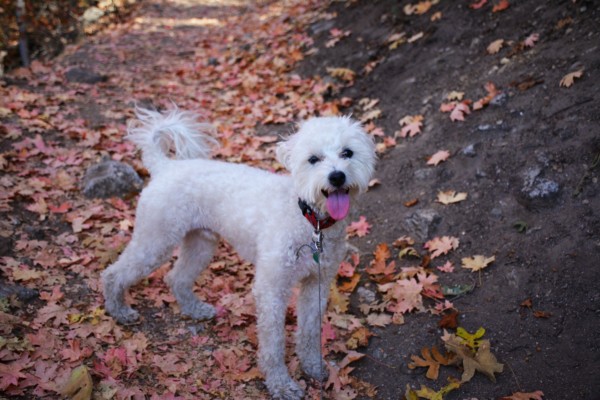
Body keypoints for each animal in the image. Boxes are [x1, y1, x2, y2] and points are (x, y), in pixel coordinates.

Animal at [101, 108, 378, 398]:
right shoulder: (271, 289)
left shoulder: (316, 283)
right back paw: (119, 311)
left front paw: (313, 366)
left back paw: (194, 309)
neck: (309, 219)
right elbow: (273, 343)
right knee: (113, 273)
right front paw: (281, 384)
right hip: (156, 240)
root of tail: (166, 166)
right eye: (313, 159)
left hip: (201, 244)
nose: (337, 176)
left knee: (176, 278)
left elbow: (310, 332)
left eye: (347, 152)